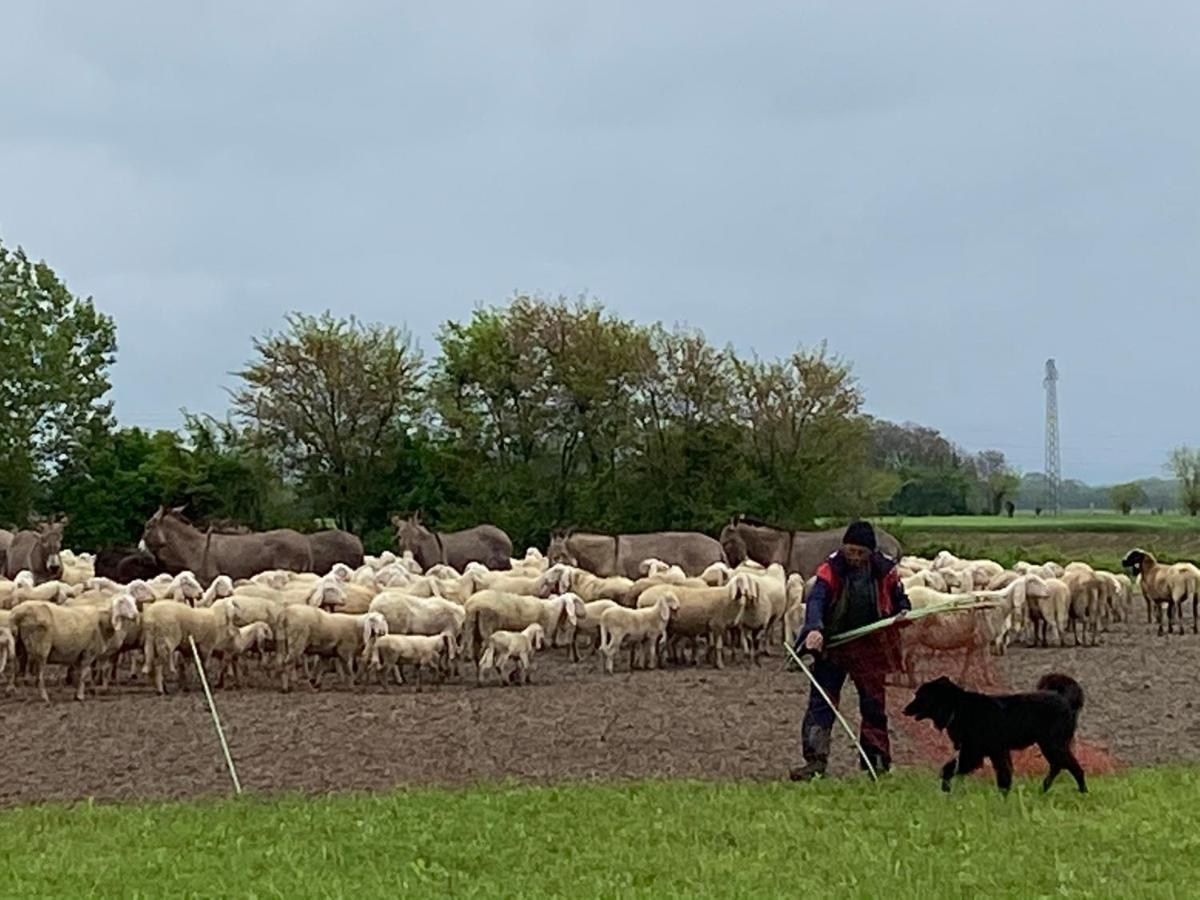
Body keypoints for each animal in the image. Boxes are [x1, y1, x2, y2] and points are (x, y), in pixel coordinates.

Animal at [11, 592, 139, 705]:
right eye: (122, 601)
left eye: (134, 601)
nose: (136, 615)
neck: (102, 621)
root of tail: (19, 613)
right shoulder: (89, 652)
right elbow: (84, 674)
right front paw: (80, 696)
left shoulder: (78, 653)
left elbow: (78, 674)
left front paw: (78, 692)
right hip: (40, 648)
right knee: (38, 675)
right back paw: (44, 697)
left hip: (19, 646)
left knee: (18, 670)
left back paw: (24, 695)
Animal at [902, 676, 1089, 796]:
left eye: (920, 696)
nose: (904, 710)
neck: (957, 707)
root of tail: (1065, 699)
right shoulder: (997, 751)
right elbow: (1004, 774)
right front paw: (1004, 796)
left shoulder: (974, 752)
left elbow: (949, 769)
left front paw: (946, 788)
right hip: (1054, 745)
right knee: (1060, 766)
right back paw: (1043, 790)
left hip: (1052, 744)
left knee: (1071, 767)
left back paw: (1082, 792)